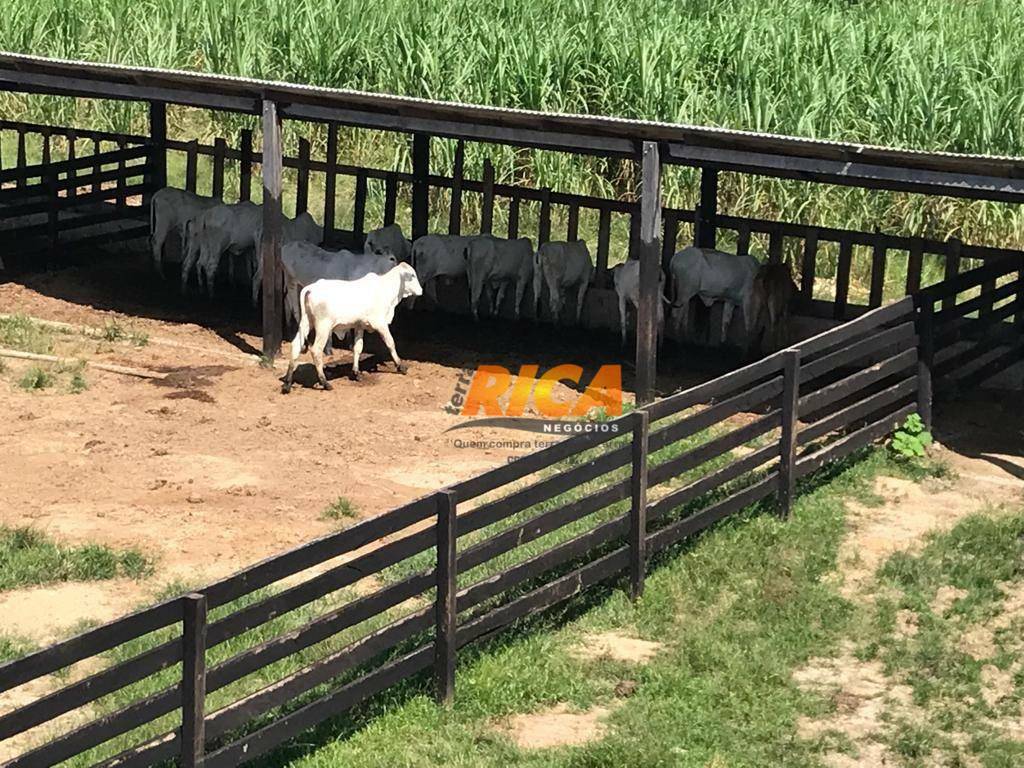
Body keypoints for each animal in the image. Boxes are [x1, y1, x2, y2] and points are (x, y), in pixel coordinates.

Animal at [282, 266, 421, 397]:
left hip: (306, 323)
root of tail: (311, 288)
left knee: (295, 346)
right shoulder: (380, 323)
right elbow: (390, 343)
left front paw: (356, 373)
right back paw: (325, 382)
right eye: (412, 275)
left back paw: (287, 383)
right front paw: (400, 366)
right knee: (316, 350)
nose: (421, 290)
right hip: (323, 326)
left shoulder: (359, 325)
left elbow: (358, 348)